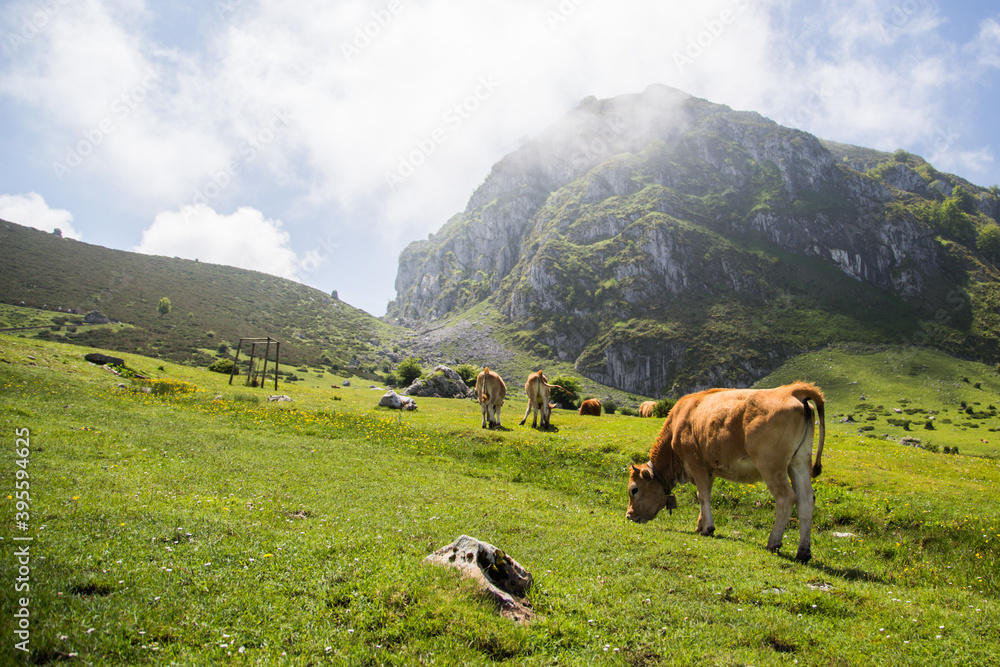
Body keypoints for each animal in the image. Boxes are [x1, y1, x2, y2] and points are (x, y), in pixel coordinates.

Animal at [624, 380, 828, 564]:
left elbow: (702, 496)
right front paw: (700, 525)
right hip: (799, 462)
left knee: (786, 498)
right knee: (806, 500)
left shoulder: (696, 463)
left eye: (634, 490)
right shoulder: (709, 469)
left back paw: (773, 542)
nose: (629, 515)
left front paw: (707, 528)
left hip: (771, 466)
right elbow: (704, 494)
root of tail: (790, 390)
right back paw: (803, 552)